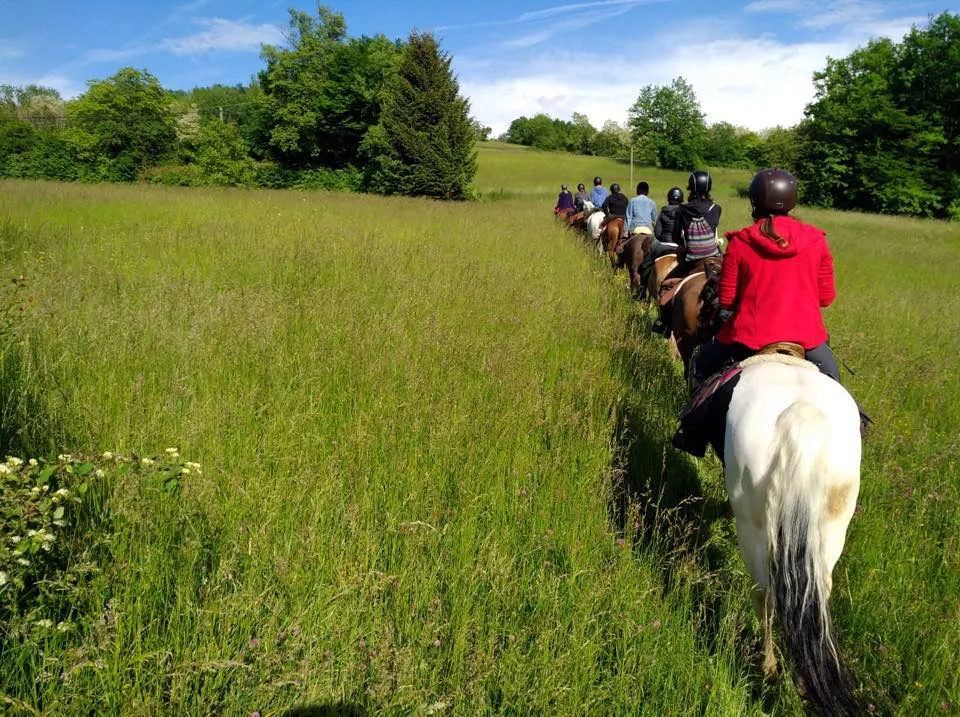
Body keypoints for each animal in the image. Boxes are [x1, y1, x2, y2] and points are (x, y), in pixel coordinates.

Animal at [724, 356, 860, 712]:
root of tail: (802, 418)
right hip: (831, 529)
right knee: (816, 593)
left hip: (752, 528)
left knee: (765, 594)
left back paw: (768, 666)